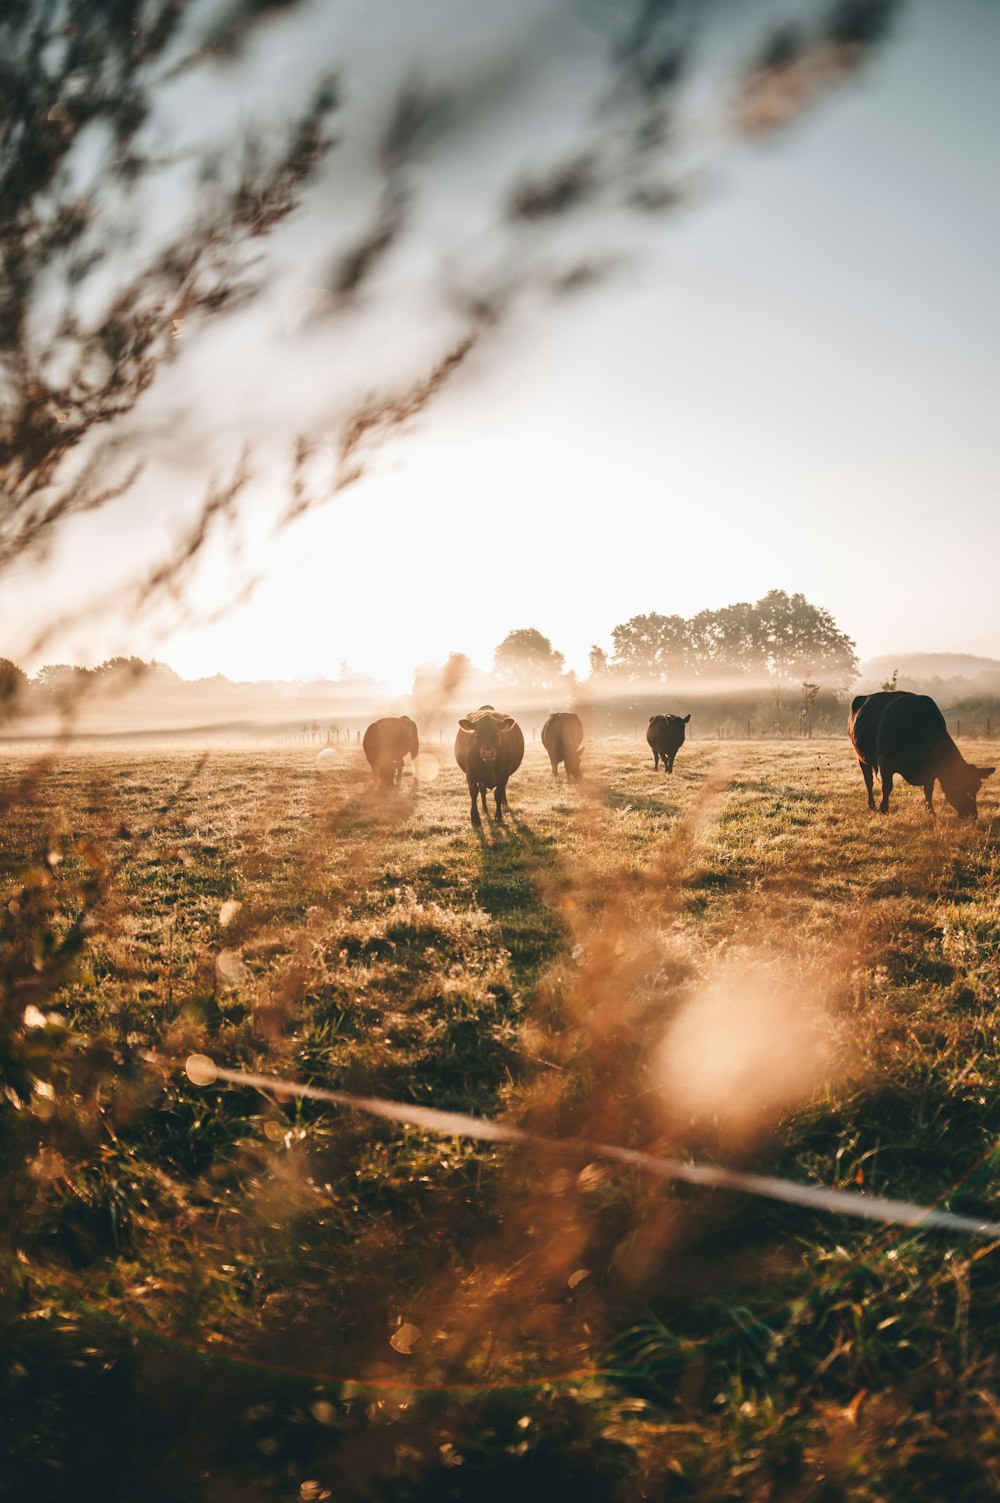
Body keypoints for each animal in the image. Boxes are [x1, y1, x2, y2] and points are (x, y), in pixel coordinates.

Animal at [848, 691, 992, 823]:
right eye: (959, 786)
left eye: (977, 789)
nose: (973, 816)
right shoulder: (885, 763)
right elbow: (887, 787)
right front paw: (884, 809)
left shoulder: (930, 770)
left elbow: (928, 790)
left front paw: (931, 812)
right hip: (861, 758)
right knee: (868, 781)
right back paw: (872, 805)